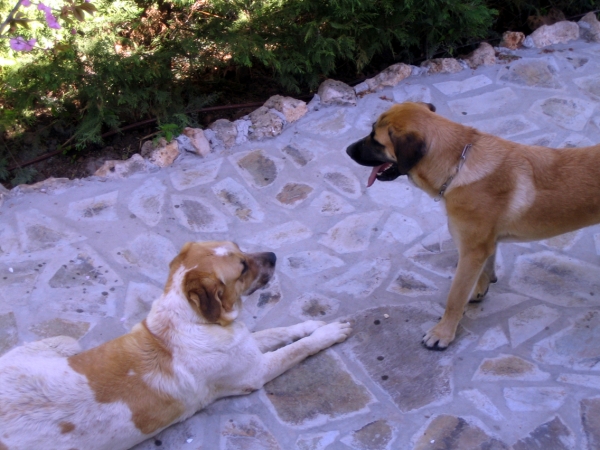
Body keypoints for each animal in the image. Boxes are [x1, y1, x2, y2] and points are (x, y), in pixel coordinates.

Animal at [0, 241, 352, 448]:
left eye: (241, 249)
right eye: (241, 267)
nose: (275, 256)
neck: (192, 319)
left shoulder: (245, 346)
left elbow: (283, 331)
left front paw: (312, 325)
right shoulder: (255, 371)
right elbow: (296, 349)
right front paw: (327, 334)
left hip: (66, 342)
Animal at [344, 103, 600, 350]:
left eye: (376, 140)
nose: (346, 150)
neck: (457, 164)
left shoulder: (471, 251)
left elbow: (455, 297)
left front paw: (443, 333)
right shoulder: (484, 245)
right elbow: (486, 267)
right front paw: (480, 288)